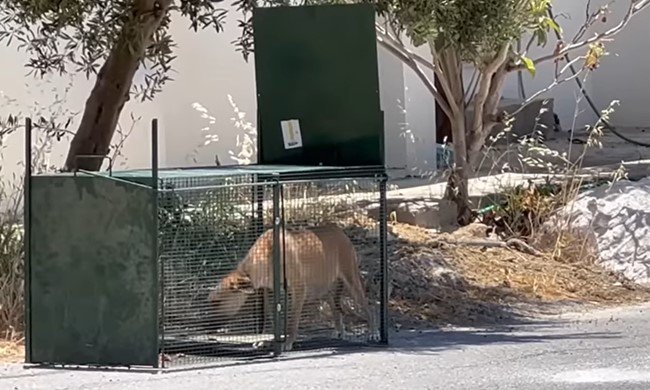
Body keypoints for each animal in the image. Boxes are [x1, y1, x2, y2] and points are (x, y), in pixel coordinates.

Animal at [205, 224, 372, 352]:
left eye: (216, 302)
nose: (205, 326)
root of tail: (339, 229)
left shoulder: (298, 289)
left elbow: (292, 320)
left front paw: (287, 341)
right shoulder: (269, 292)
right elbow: (273, 319)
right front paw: (270, 339)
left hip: (351, 280)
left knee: (368, 307)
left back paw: (373, 331)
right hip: (323, 288)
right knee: (335, 306)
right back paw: (339, 331)